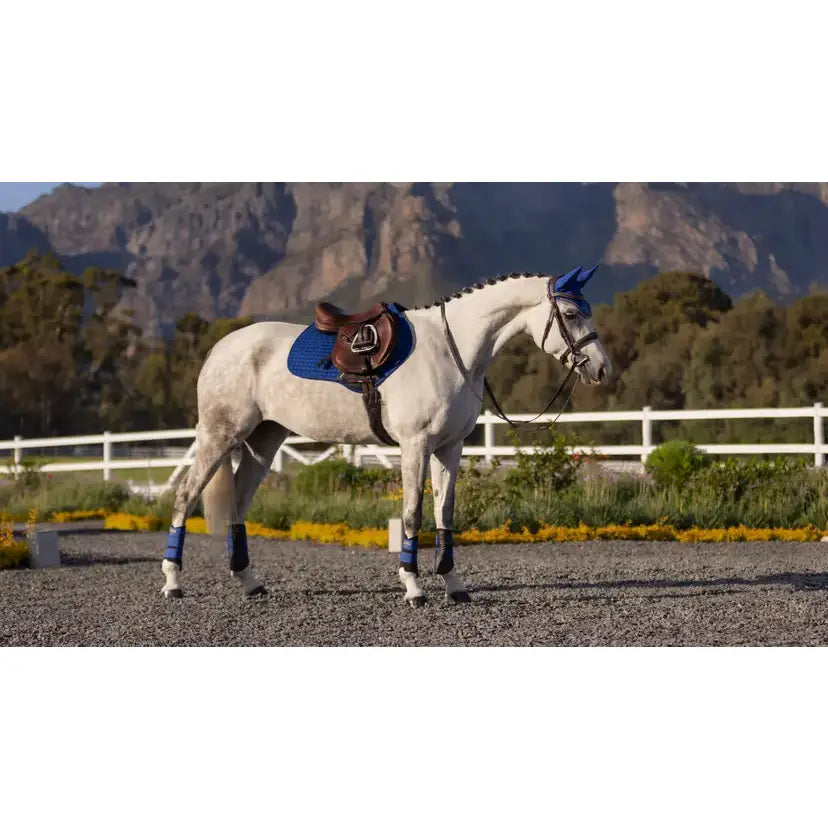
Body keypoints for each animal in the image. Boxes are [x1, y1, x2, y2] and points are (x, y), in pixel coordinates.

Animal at [159, 266, 612, 606]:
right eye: (572, 315)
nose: (602, 369)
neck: (452, 350)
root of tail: (220, 350)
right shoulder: (416, 445)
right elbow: (413, 513)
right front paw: (413, 588)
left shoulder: (450, 449)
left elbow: (445, 515)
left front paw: (454, 586)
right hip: (220, 437)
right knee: (185, 496)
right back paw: (172, 582)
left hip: (264, 442)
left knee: (238, 503)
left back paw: (249, 582)